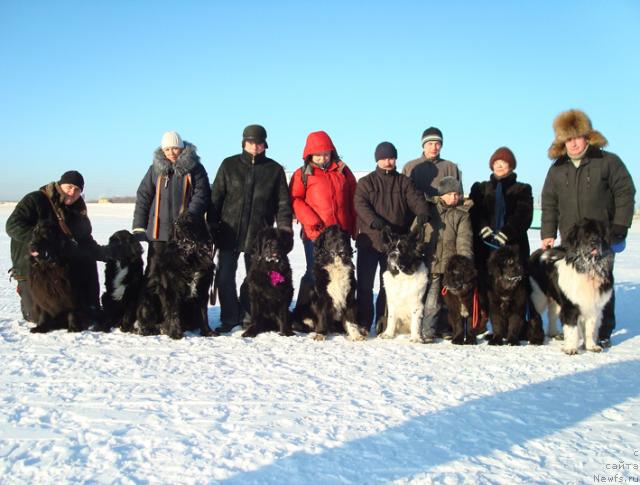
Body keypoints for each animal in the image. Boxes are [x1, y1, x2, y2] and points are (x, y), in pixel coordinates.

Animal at [524, 217, 616, 354]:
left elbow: (590, 328)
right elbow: (572, 328)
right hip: (537, 296)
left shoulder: (593, 306)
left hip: (555, 299)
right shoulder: (570, 306)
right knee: (535, 315)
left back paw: (553, 333)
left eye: (599, 234)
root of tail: (540, 252)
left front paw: (591, 346)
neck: (588, 268)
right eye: (586, 234)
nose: (595, 241)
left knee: (552, 314)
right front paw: (571, 349)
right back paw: (535, 337)